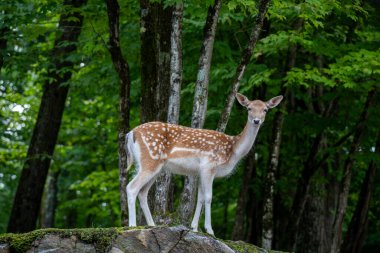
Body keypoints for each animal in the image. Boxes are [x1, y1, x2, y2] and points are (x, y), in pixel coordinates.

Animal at [124, 93, 282, 235]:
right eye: (249, 108)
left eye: (265, 109)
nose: (256, 120)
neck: (233, 151)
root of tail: (131, 133)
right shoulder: (209, 166)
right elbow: (208, 197)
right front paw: (210, 230)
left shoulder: (199, 172)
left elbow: (199, 198)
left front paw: (194, 228)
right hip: (150, 160)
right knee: (132, 187)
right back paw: (132, 225)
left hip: (155, 168)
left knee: (142, 192)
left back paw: (152, 225)